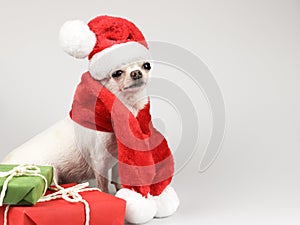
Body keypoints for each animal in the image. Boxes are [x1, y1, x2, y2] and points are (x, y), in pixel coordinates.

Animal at [2, 60, 150, 192]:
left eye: (146, 65)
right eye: (117, 73)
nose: (136, 72)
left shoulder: (119, 158)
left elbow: (118, 178)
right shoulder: (99, 161)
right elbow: (103, 186)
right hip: (51, 173)